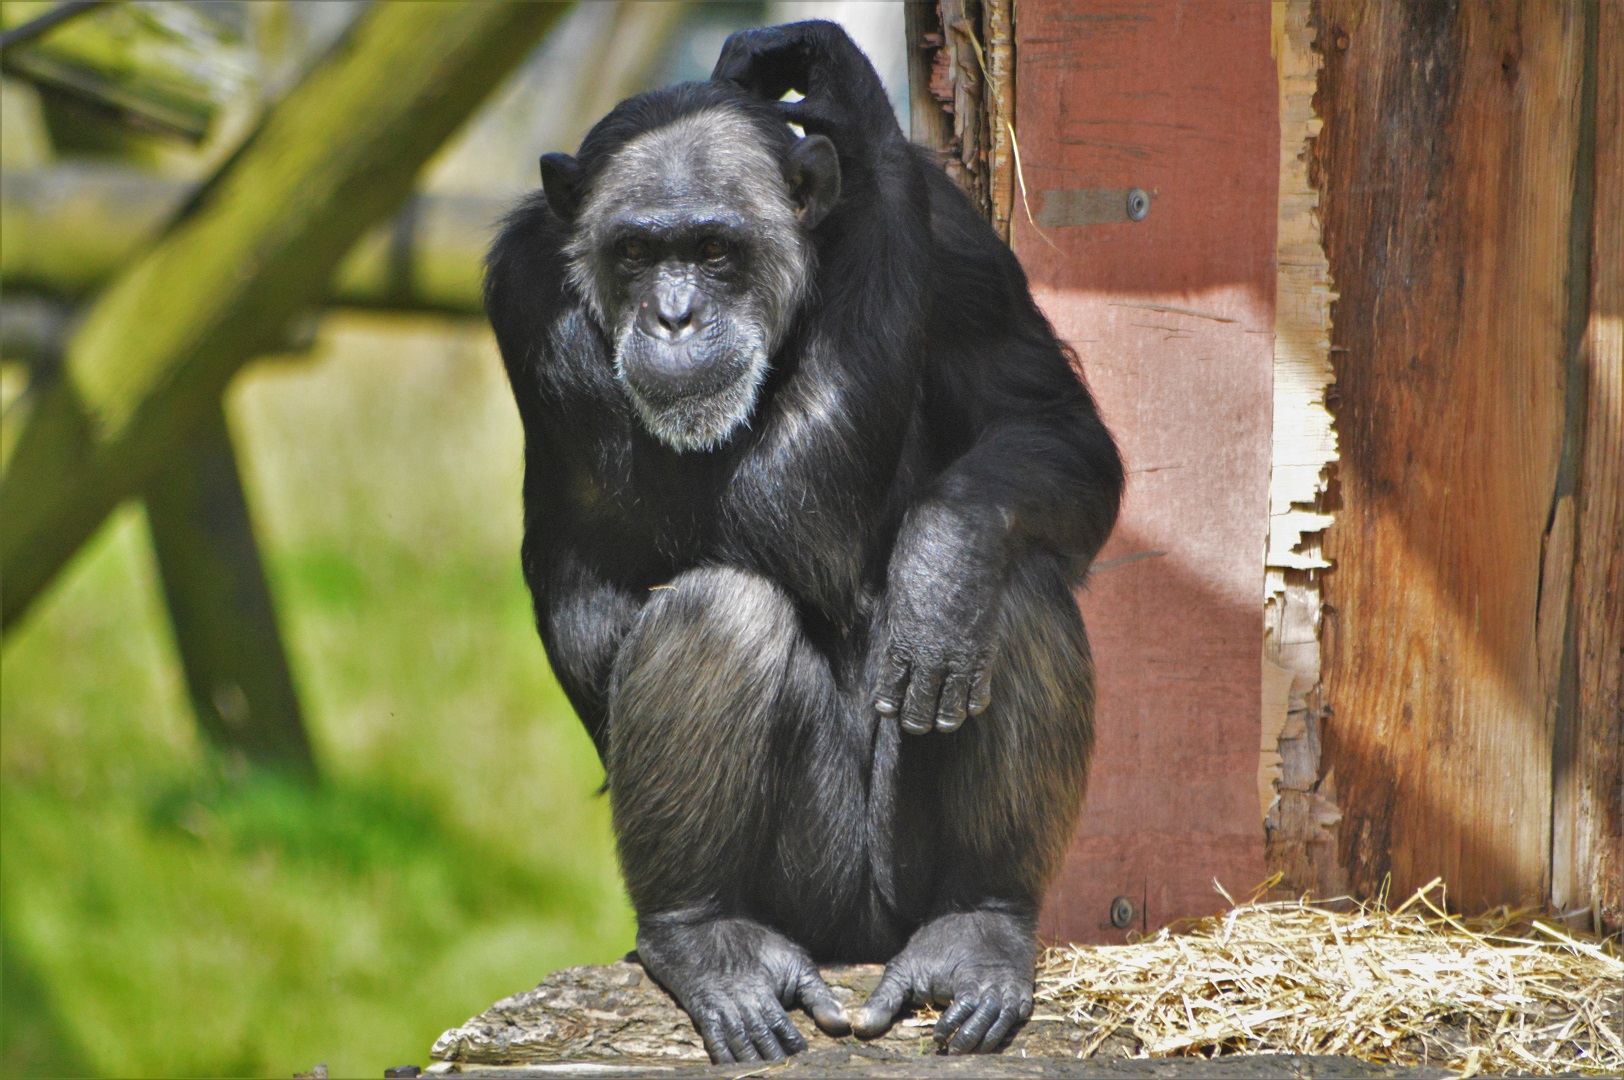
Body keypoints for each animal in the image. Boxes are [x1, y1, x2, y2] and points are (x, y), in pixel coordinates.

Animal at [484, 21, 1123, 1063]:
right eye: (635, 251)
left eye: (713, 248)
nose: (674, 316)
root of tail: (861, 948)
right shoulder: (533, 300)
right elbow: (772, 508)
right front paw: (854, 104)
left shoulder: (957, 239)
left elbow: (1046, 423)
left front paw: (943, 561)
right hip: (812, 887)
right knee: (721, 607)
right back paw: (705, 937)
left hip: (898, 888)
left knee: (1017, 581)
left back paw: (981, 922)